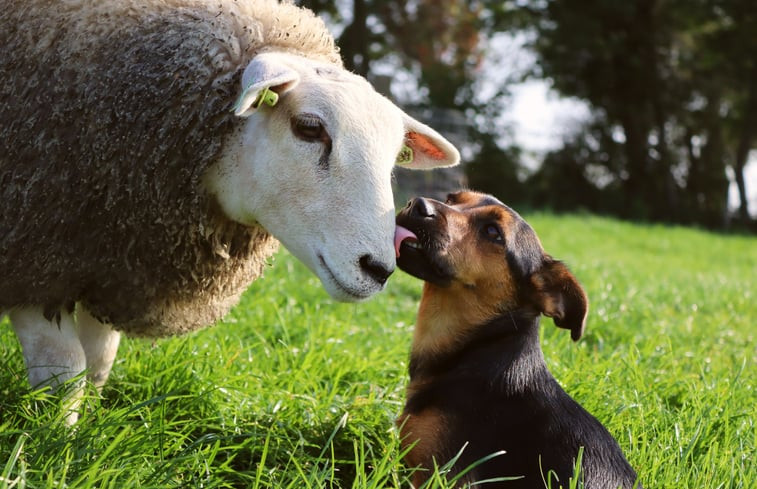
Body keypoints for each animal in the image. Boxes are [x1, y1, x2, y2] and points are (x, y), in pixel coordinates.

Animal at [0, 0, 458, 422]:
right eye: (309, 128)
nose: (378, 269)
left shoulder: (113, 267)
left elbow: (97, 365)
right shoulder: (34, 250)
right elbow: (64, 375)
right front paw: (58, 440)